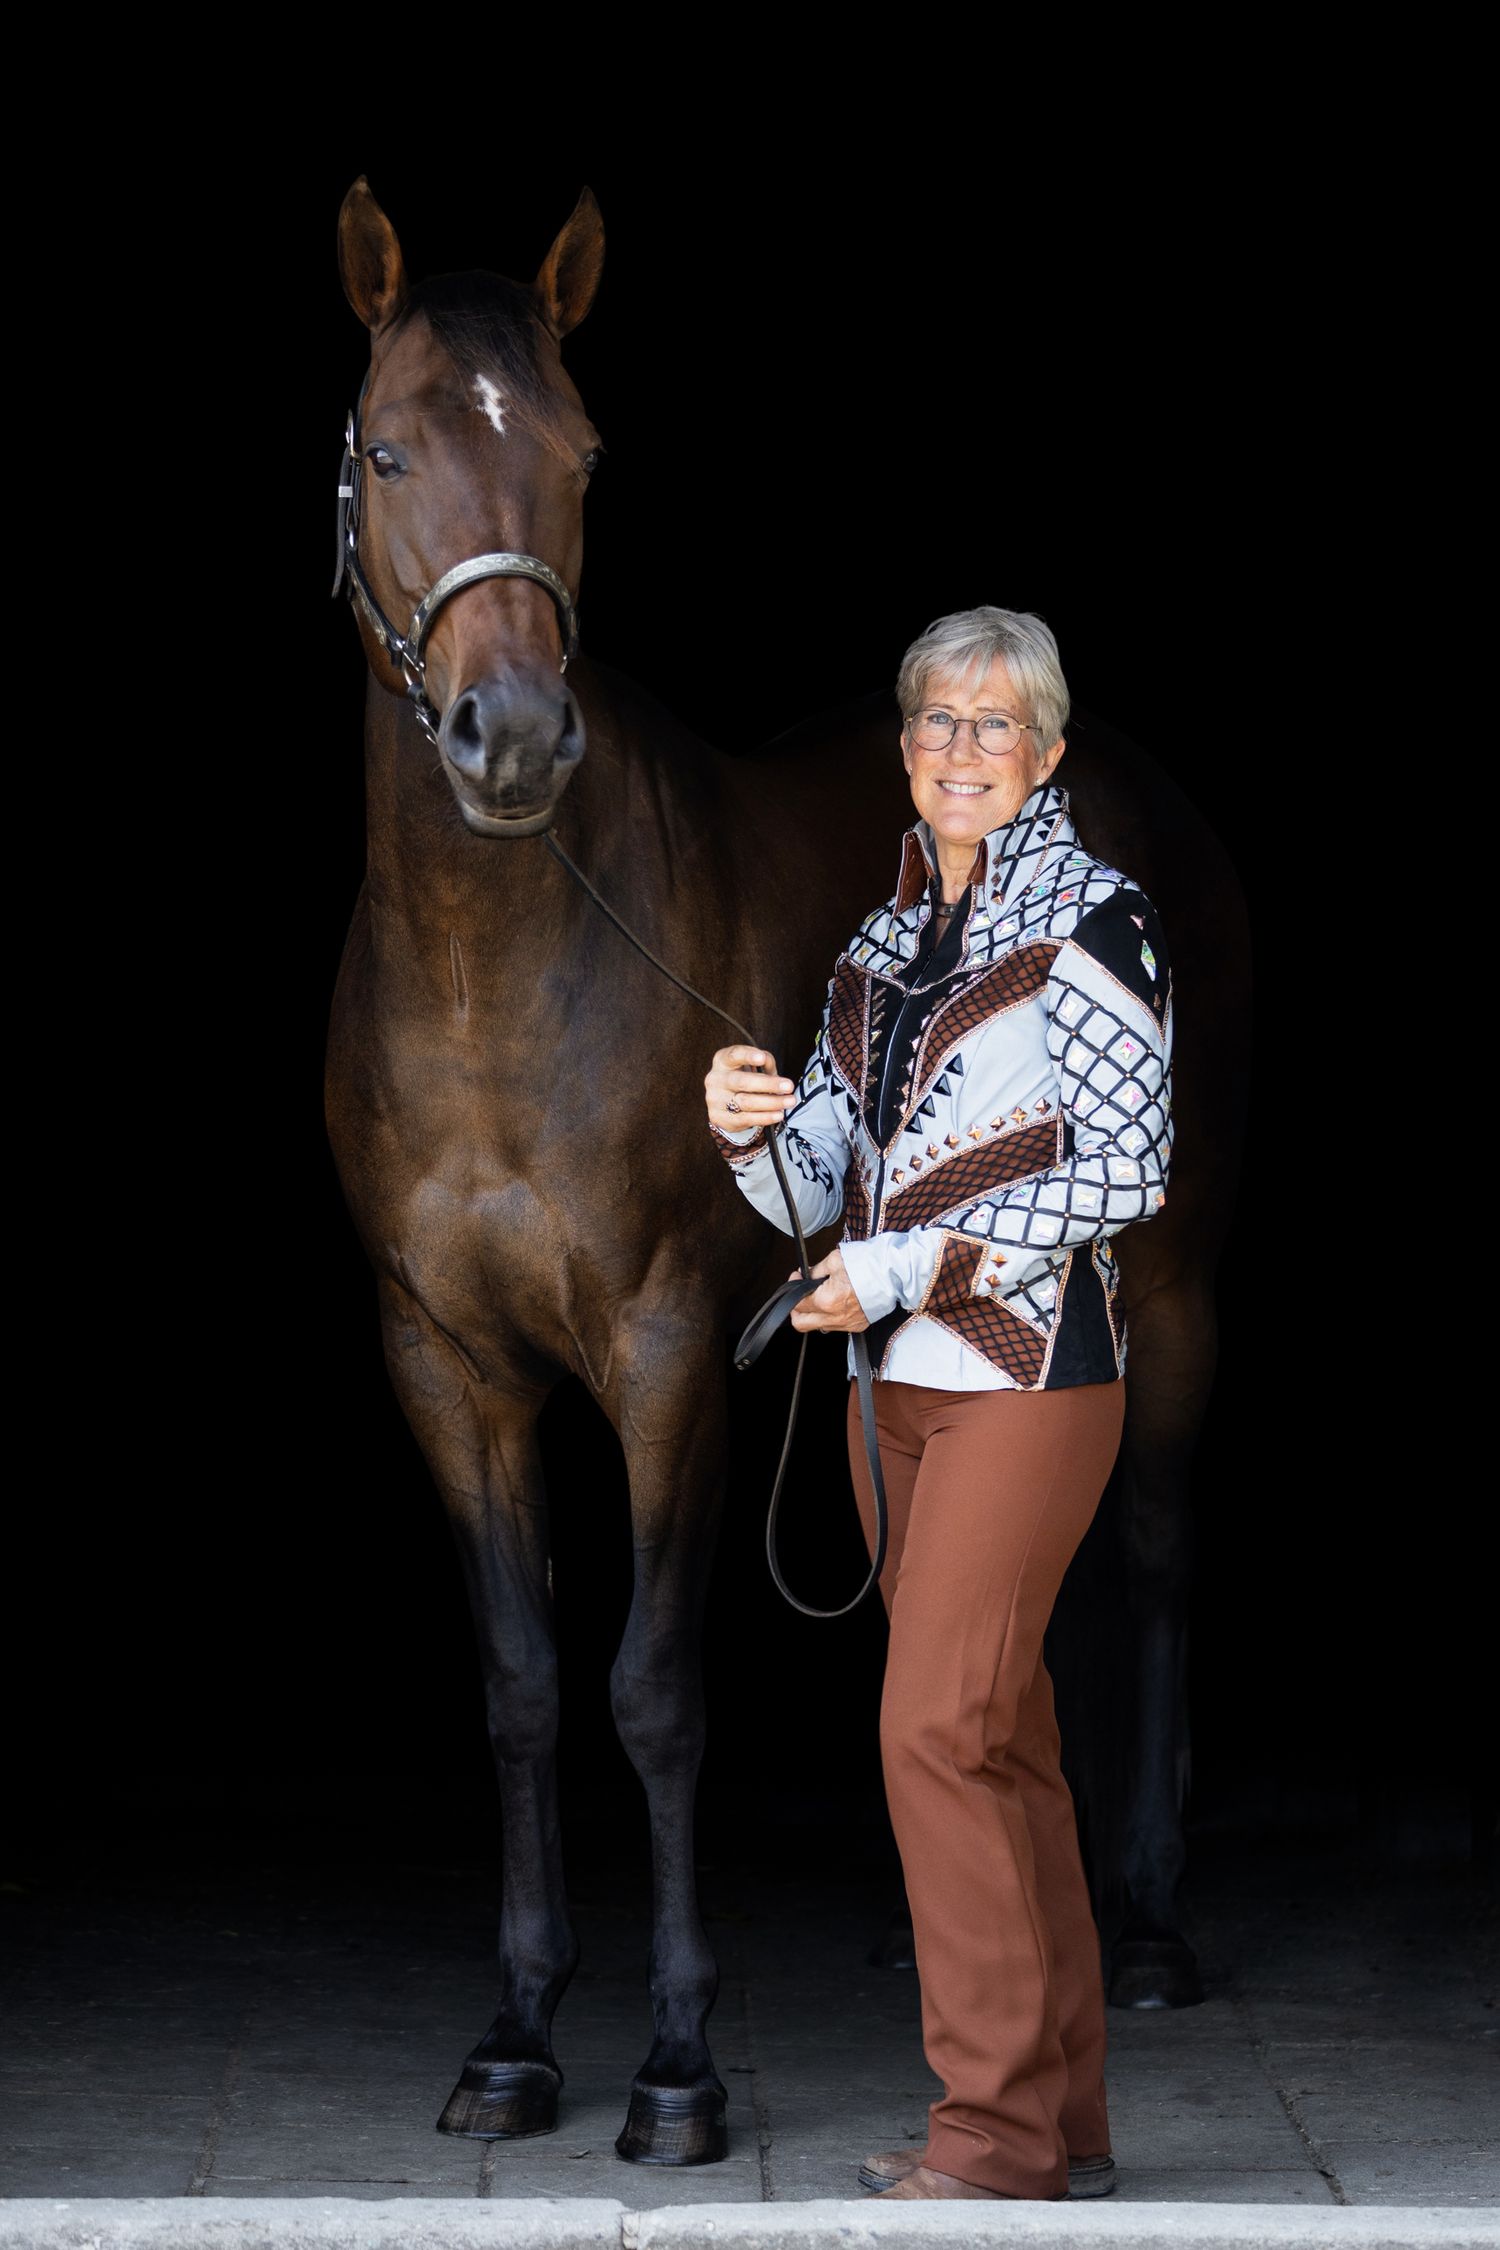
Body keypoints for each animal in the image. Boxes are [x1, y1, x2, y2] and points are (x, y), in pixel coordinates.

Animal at [324, 174, 1251, 2161]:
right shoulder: (445, 1363)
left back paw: (1143, 1926)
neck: (492, 971)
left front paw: (677, 2063)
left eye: (585, 455)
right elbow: (524, 1689)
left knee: (1144, 1550)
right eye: (385, 447)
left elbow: (654, 1691)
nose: (514, 740)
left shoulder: (672, 1352)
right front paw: (514, 2033)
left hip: (1172, 1278)